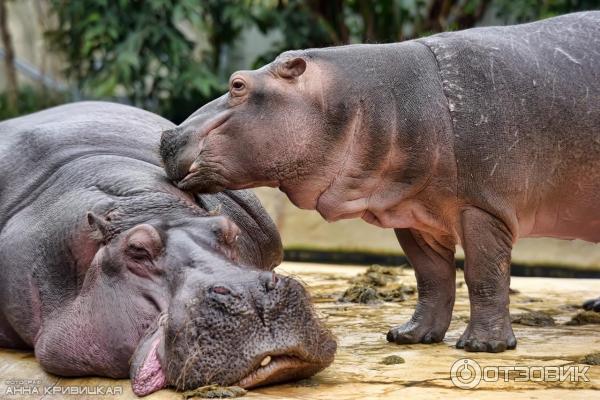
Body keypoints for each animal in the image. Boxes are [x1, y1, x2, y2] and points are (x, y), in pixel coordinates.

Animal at [162, 10, 600, 354]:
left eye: (238, 84)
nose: (168, 135)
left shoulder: (483, 207)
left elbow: (484, 274)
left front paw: (483, 346)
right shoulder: (413, 212)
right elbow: (430, 276)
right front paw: (409, 336)